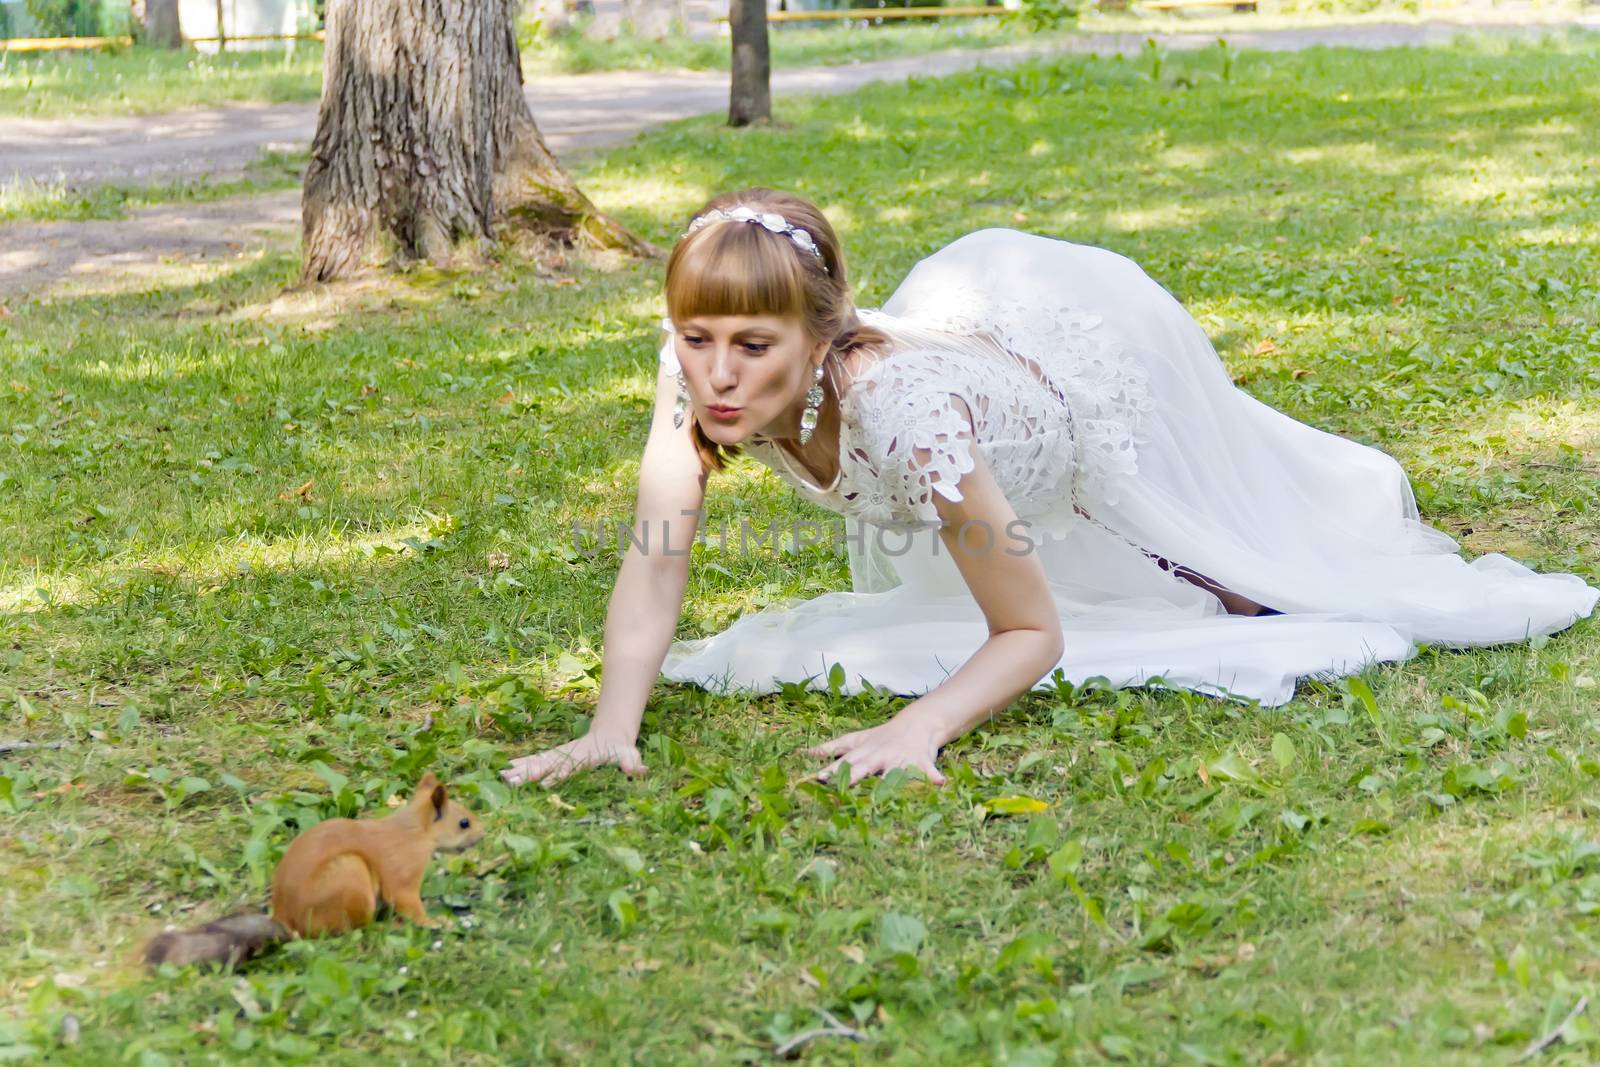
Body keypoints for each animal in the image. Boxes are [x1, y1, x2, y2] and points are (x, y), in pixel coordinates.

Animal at [140, 771, 483, 972]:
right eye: (463, 822)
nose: (483, 834)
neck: (414, 831)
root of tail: (290, 925)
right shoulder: (403, 871)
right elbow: (408, 902)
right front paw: (436, 922)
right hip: (349, 877)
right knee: (351, 929)